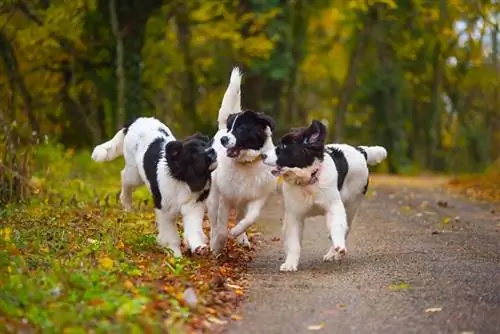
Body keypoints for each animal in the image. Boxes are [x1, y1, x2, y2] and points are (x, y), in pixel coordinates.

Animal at [91, 116, 216, 258]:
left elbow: (193, 229)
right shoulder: (164, 211)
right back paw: (127, 207)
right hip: (134, 174)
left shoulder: (193, 207)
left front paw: (199, 247)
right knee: (125, 179)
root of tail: (136, 120)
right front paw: (175, 256)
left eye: (206, 145)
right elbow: (171, 235)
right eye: (193, 153)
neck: (183, 181)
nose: (212, 151)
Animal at [207, 68, 278, 256]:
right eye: (230, 128)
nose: (224, 139)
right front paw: (218, 246)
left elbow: (250, 218)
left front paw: (237, 232)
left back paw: (242, 238)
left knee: (240, 216)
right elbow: (221, 226)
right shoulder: (224, 197)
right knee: (213, 221)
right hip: (213, 197)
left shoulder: (257, 196)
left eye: (241, 128)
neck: (246, 163)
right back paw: (213, 241)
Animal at [262, 120, 386, 272]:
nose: (262, 156)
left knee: (346, 227)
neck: (308, 182)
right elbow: (293, 241)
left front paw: (339, 246)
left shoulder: (334, 205)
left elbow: (337, 226)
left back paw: (334, 252)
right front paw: (290, 263)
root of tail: (360, 151)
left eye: (284, 146)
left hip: (352, 204)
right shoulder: (294, 214)